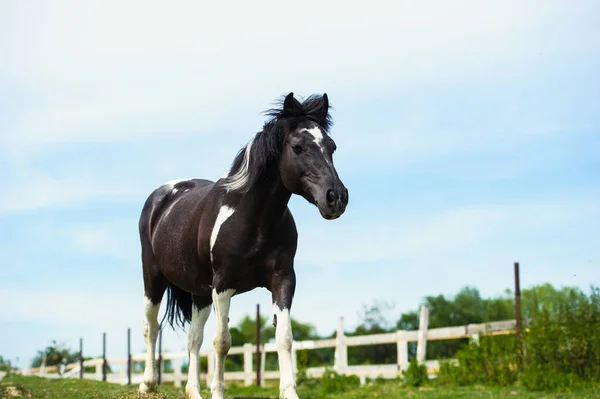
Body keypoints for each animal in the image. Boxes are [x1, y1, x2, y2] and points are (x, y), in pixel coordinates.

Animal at [138, 92, 350, 398]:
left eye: (331, 147)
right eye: (298, 147)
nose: (336, 198)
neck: (254, 220)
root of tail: (161, 196)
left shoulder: (283, 280)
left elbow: (284, 338)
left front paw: (289, 391)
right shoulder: (223, 286)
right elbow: (222, 342)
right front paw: (218, 392)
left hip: (200, 294)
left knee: (193, 339)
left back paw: (193, 390)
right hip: (153, 280)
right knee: (151, 328)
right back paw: (148, 383)